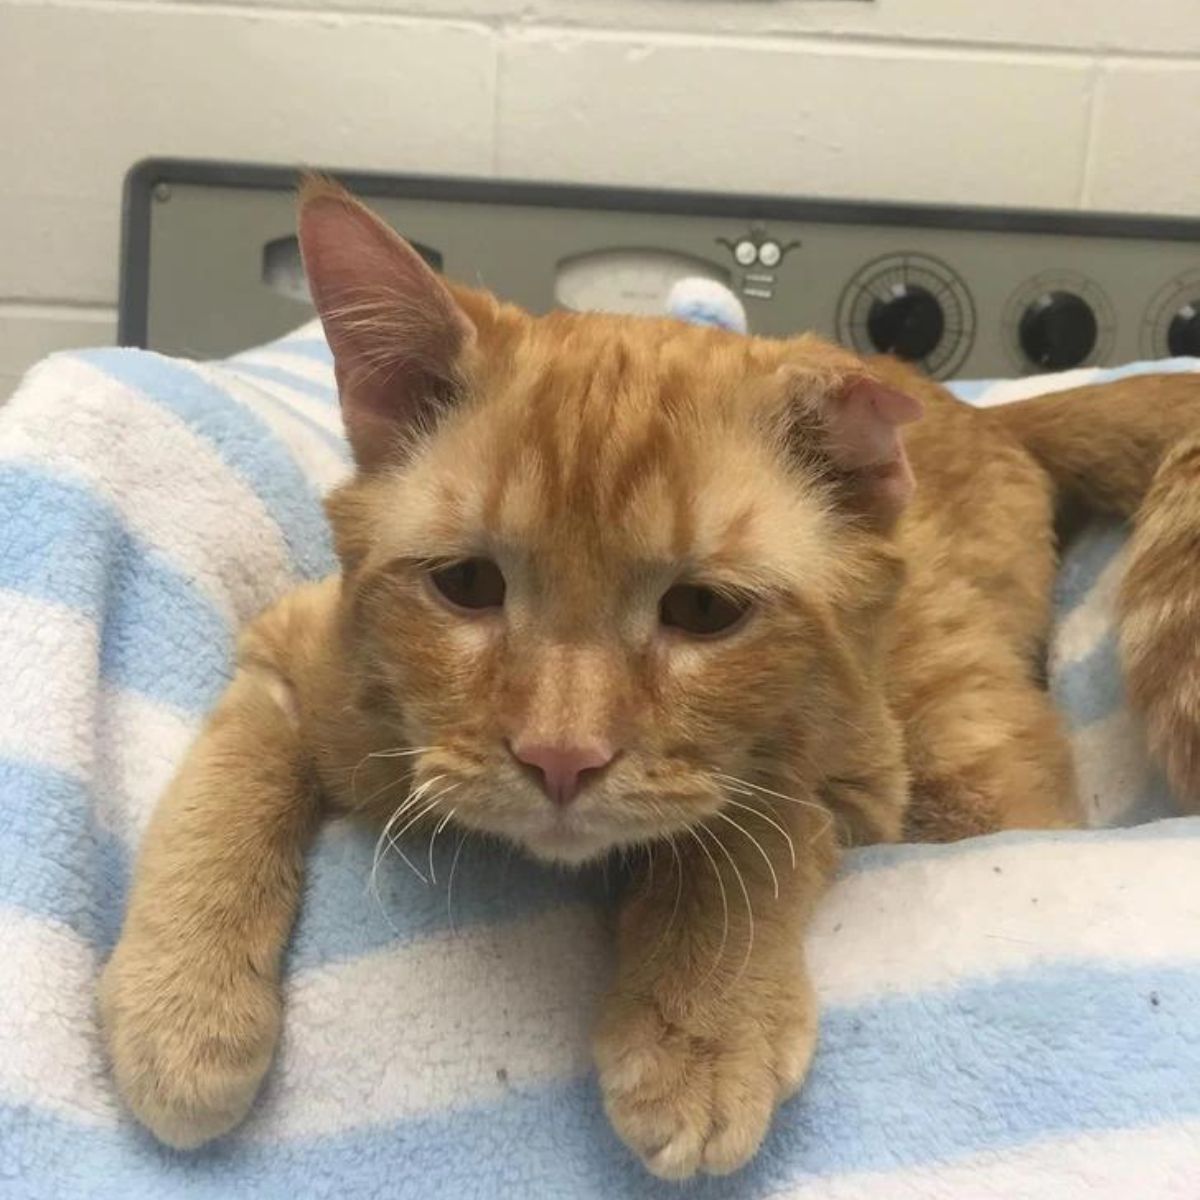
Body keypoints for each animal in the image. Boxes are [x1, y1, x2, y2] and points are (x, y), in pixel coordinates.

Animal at [98, 182, 1200, 1176]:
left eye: (704, 611)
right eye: (467, 585)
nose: (561, 755)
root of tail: (986, 411)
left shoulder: (860, 780)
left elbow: (751, 825)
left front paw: (698, 1026)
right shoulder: (291, 654)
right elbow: (224, 788)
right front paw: (180, 1002)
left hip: (968, 759)